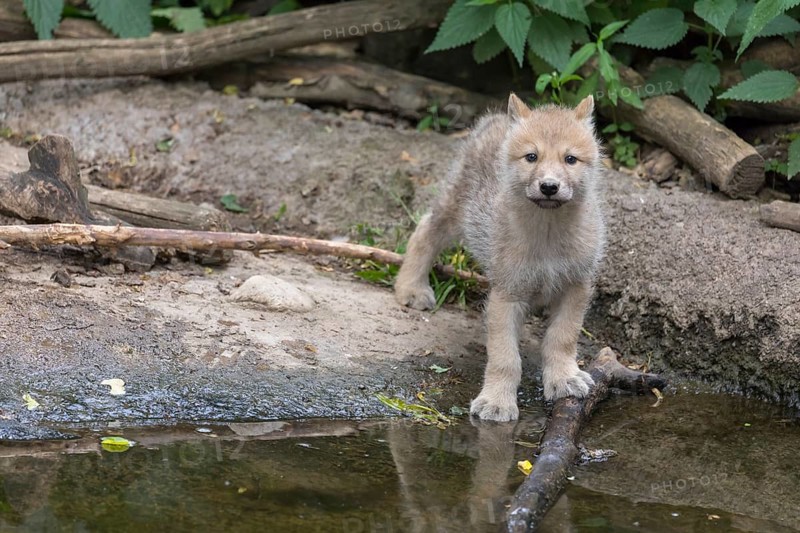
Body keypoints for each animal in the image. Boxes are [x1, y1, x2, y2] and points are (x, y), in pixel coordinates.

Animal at [394, 94, 606, 422]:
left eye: (570, 159)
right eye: (531, 157)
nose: (549, 186)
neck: (548, 234)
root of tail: (495, 119)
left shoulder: (576, 287)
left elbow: (562, 337)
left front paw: (564, 378)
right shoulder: (506, 295)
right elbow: (505, 357)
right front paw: (497, 401)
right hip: (454, 210)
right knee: (423, 232)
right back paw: (411, 287)